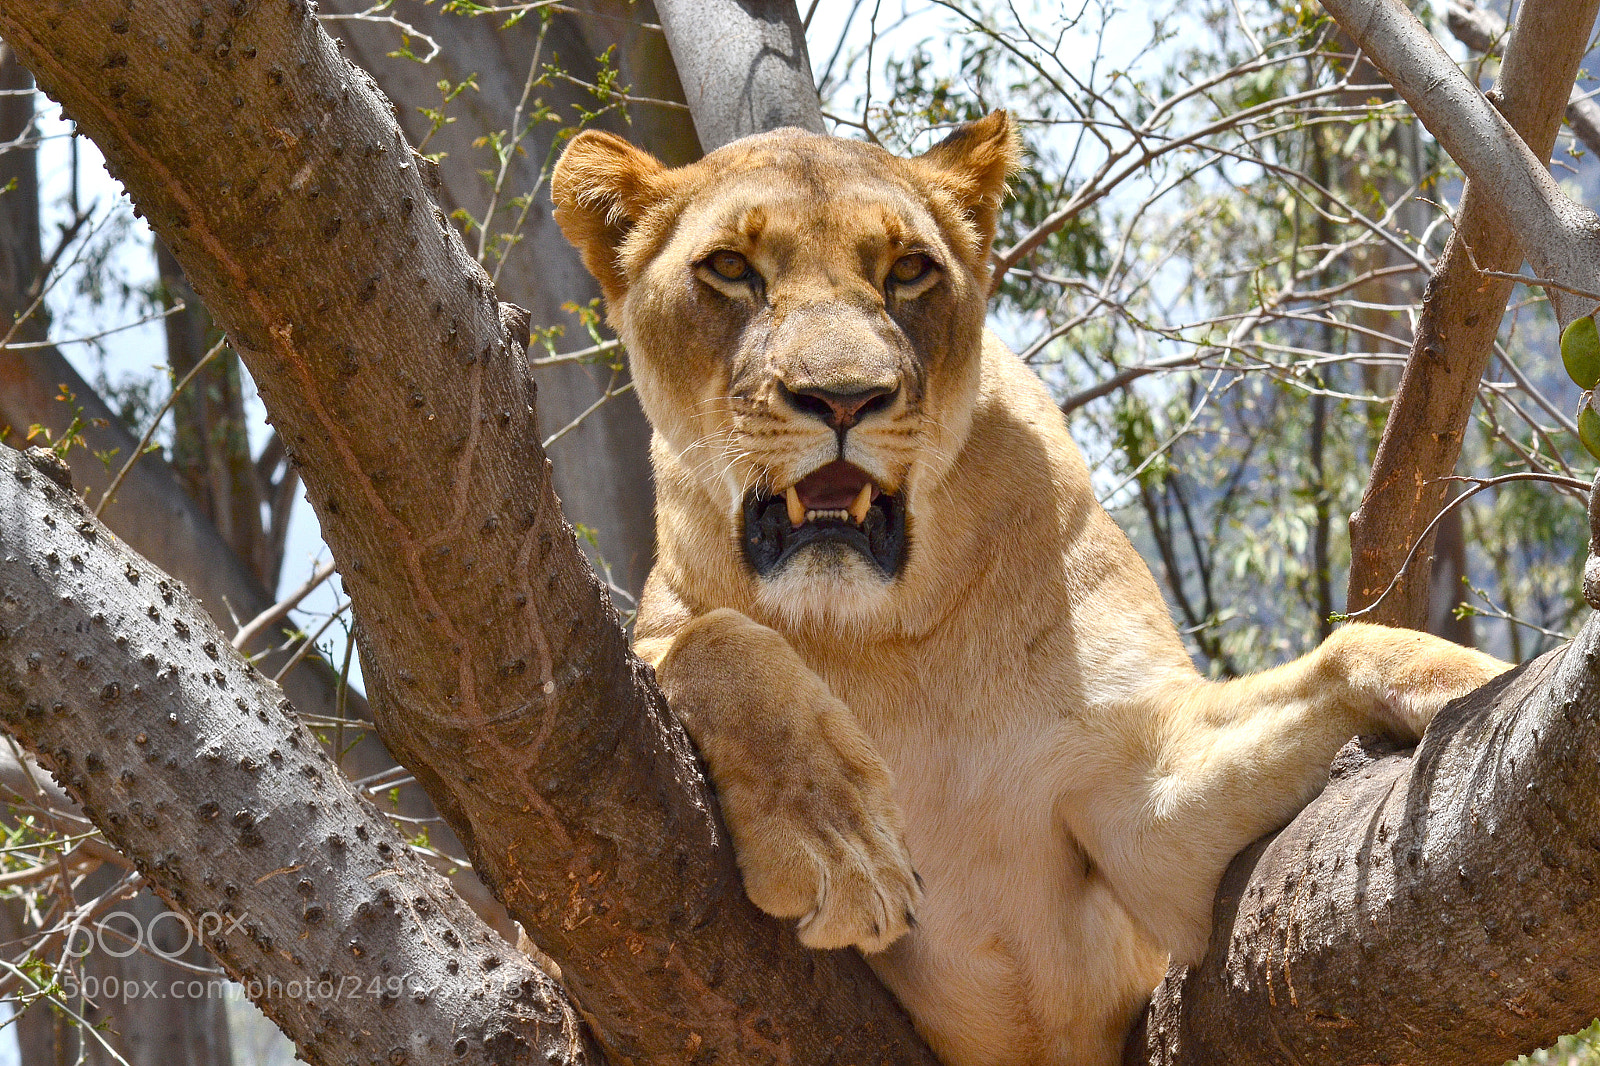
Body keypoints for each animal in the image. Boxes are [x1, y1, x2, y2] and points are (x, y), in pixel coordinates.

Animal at [551, 111, 1508, 1066]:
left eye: (908, 270)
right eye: (729, 267)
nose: (844, 399)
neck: (883, 632)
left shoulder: (1138, 800)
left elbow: (1348, 651)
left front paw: (1477, 689)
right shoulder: (658, 647)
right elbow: (713, 641)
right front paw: (837, 845)